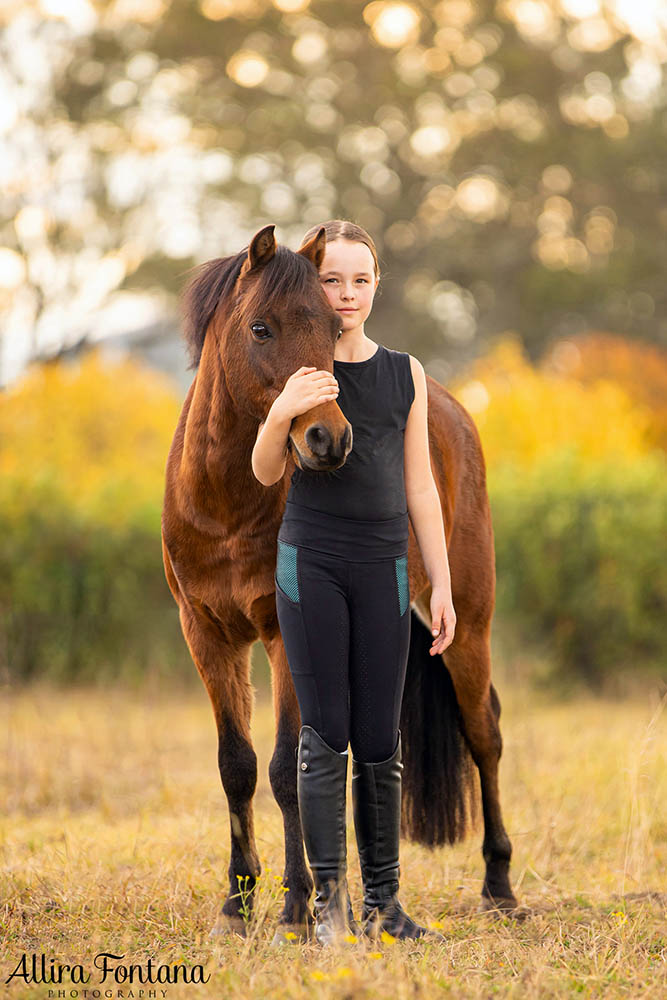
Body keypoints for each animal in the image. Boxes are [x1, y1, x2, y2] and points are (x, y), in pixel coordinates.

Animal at [162, 223, 516, 940]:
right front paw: (237, 904)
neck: (224, 500)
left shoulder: (282, 637)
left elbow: (284, 770)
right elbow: (236, 766)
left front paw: (297, 908)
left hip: (467, 622)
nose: (327, 439)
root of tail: (453, 410)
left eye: (331, 327)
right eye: (261, 328)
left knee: (484, 734)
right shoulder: (207, 637)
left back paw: (498, 887)